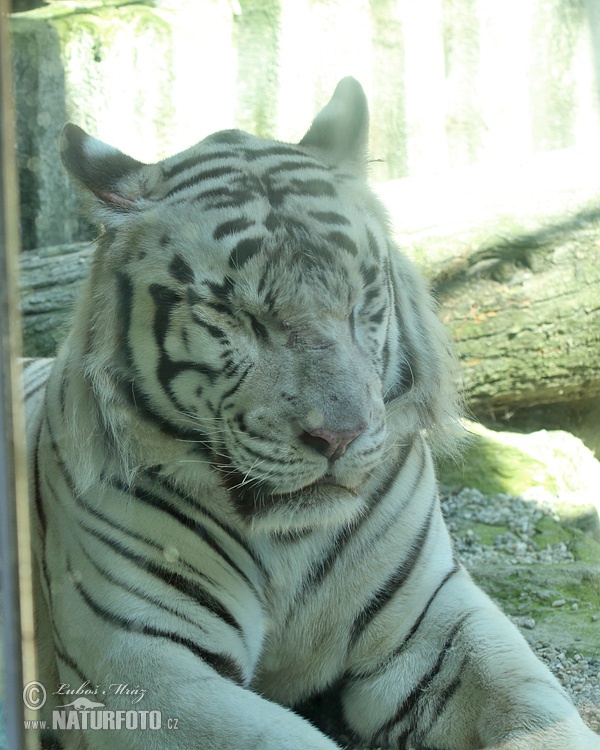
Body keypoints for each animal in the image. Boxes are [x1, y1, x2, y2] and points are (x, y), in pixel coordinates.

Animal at [25, 78, 596, 750]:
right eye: (234, 315)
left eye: (360, 301)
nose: (339, 437)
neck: (288, 543)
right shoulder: (140, 661)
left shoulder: (433, 619)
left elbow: (531, 706)